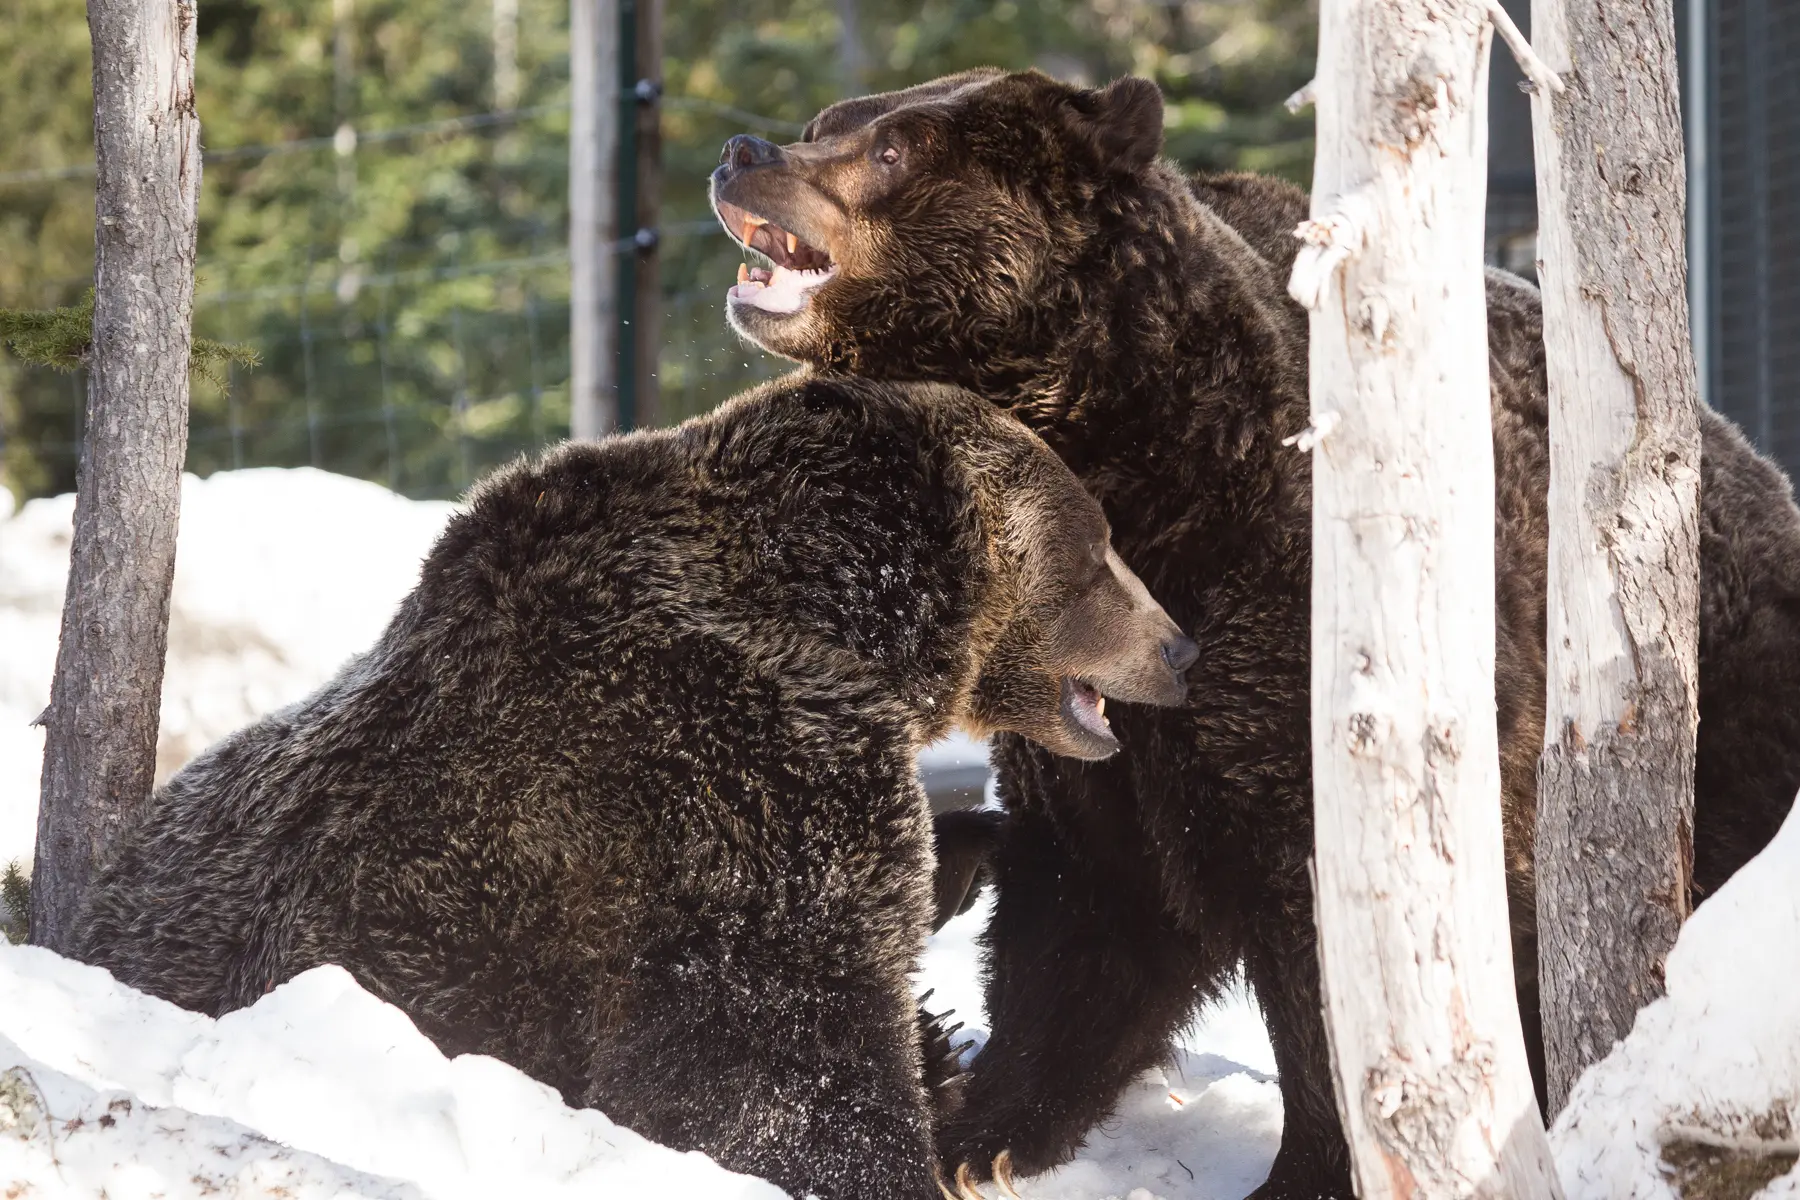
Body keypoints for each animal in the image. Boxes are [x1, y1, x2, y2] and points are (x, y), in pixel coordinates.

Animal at [73, 372, 1201, 1200]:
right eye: (1098, 546)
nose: (1179, 647)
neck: (845, 627)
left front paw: (971, 861)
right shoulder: (729, 779)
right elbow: (774, 1053)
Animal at [707, 69, 1800, 1198]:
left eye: (898, 146)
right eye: (827, 121)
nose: (744, 154)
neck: (1127, 460)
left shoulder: (1290, 629)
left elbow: (1330, 939)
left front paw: (1311, 1165)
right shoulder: (1093, 721)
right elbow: (1081, 907)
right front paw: (984, 1131)